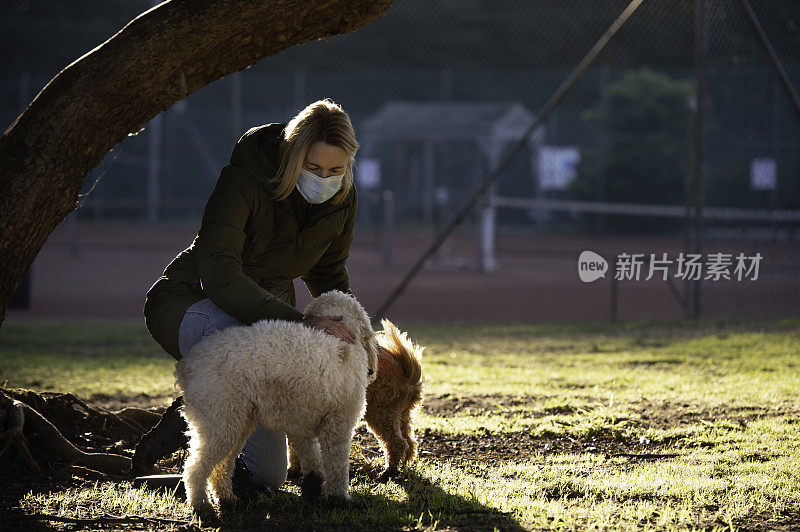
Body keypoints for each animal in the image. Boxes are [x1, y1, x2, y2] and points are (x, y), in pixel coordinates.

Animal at [175, 290, 378, 512]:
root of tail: (189, 364)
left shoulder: (300, 424)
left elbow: (311, 460)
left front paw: (312, 488)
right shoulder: (337, 426)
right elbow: (336, 467)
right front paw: (339, 499)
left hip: (236, 423)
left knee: (221, 466)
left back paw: (227, 499)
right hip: (219, 422)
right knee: (194, 469)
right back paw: (202, 506)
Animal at [290, 320, 424, 482]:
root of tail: (405, 373)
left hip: (380, 412)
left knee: (397, 443)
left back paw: (389, 471)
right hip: (401, 413)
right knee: (409, 442)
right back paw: (402, 466)